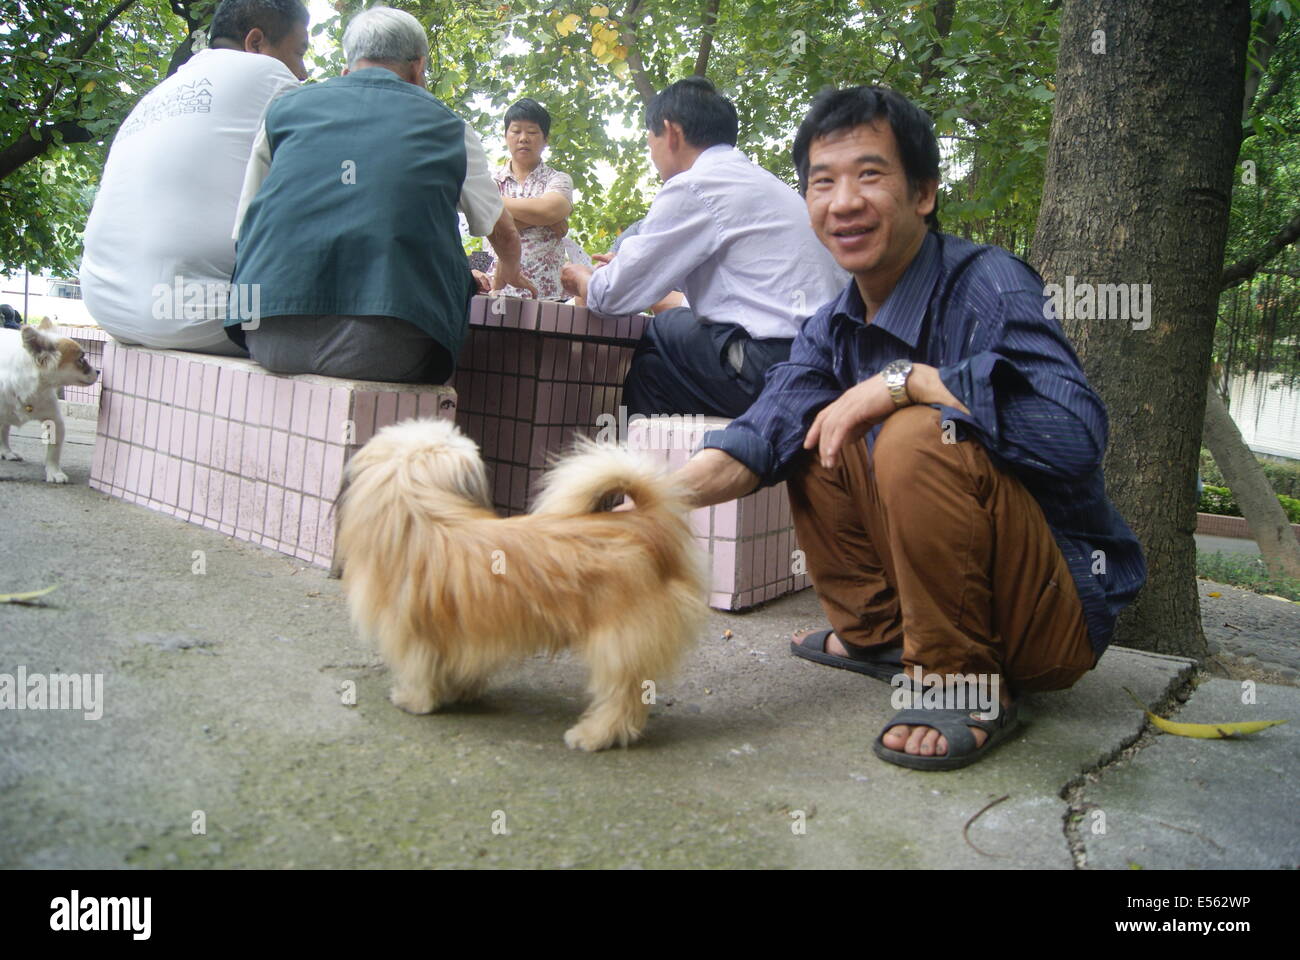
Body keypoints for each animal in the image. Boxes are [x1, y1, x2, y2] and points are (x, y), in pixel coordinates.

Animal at [330, 418, 707, 749]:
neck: (420, 516)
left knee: (622, 698)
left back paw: (594, 736)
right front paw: (461, 691)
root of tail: (647, 525)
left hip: (617, 643)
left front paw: (413, 700)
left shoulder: (413, 634)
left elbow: (420, 670)